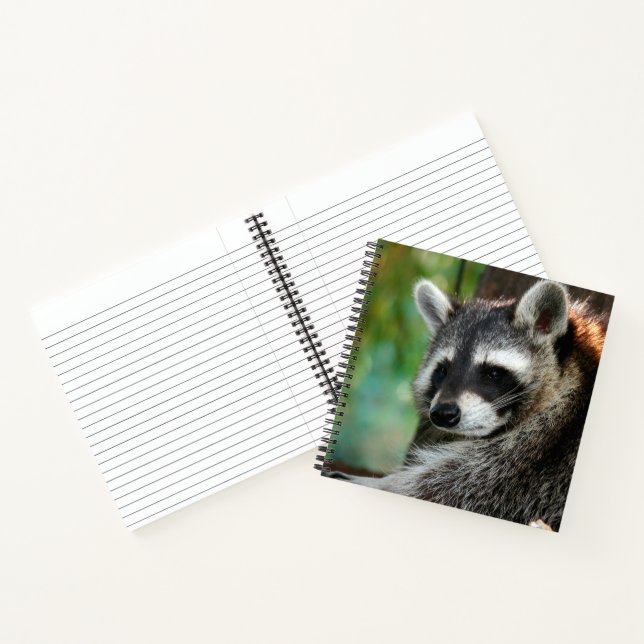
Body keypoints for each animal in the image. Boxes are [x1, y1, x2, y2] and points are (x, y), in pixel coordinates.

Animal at [329, 279, 608, 531]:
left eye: (493, 373)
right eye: (442, 370)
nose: (442, 414)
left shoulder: (533, 459)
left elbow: (445, 489)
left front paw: (376, 483)